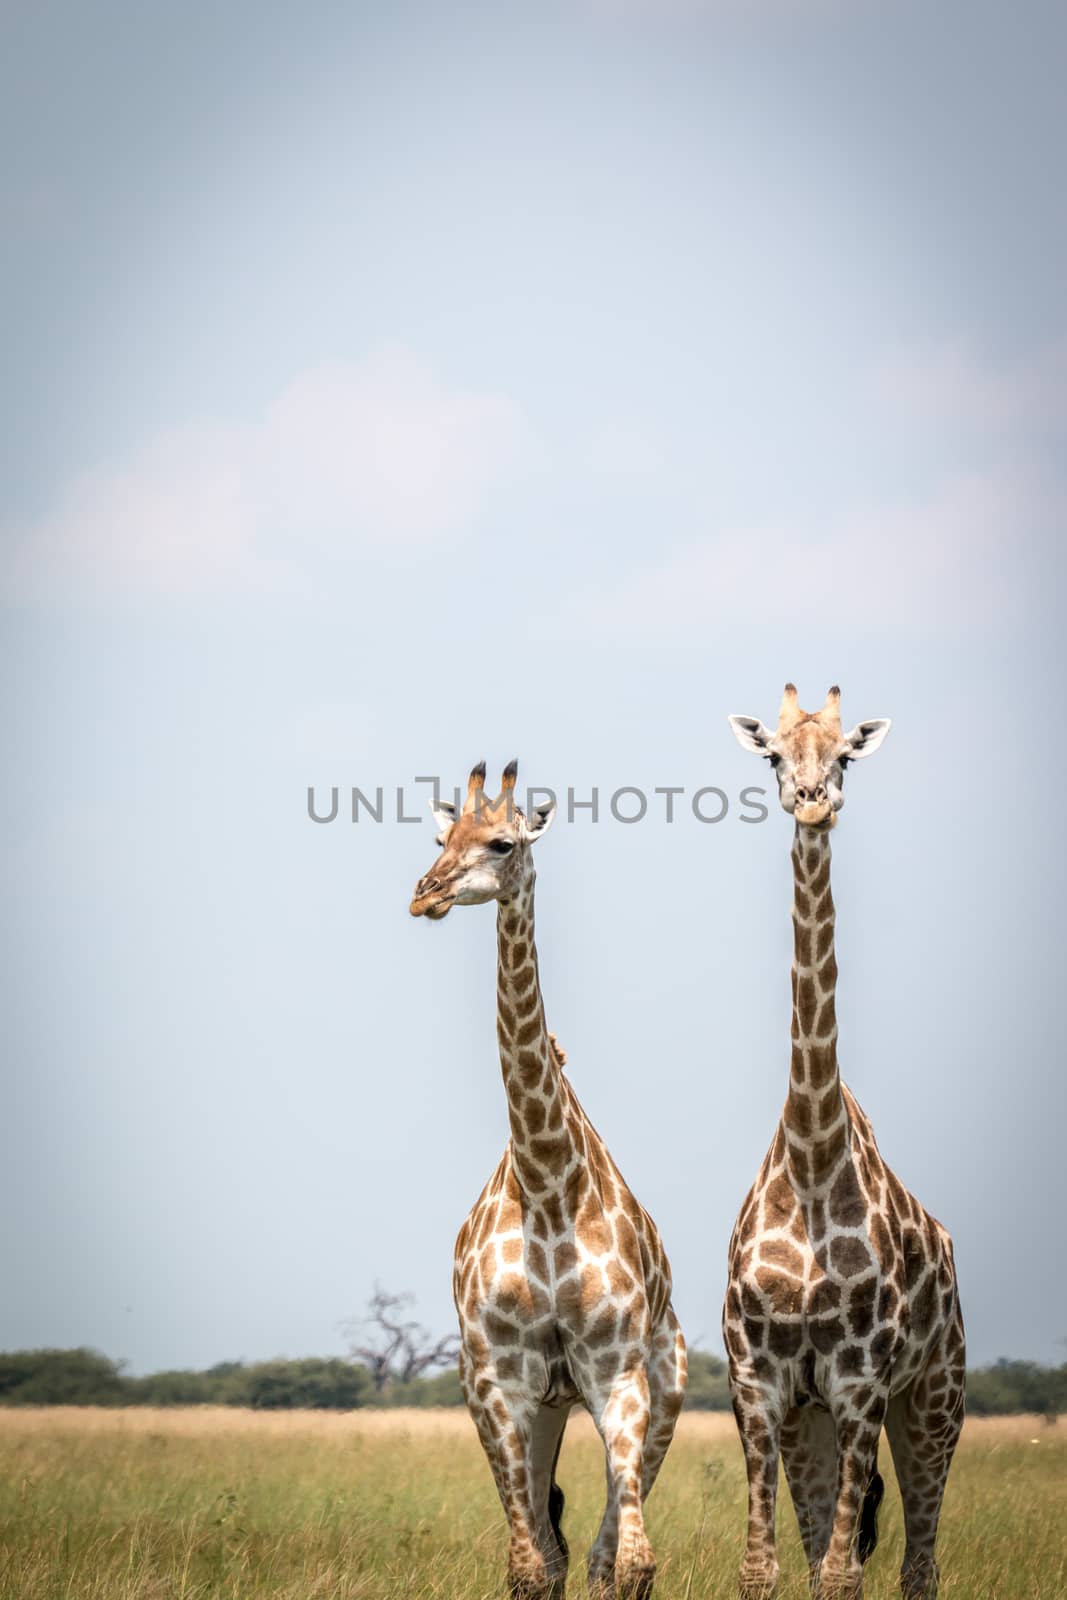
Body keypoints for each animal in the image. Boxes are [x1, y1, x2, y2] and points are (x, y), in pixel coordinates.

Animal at [409, 758, 694, 1600]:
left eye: (501, 843)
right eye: (440, 840)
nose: (425, 894)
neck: (544, 1184)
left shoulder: (618, 1372)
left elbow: (629, 1563)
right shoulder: (495, 1380)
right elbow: (530, 1566)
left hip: (659, 1385)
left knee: (601, 1553)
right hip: (541, 1407)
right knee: (552, 1548)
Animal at [726, 688, 966, 1600]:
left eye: (845, 758)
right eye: (771, 755)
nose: (811, 803)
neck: (810, 1158)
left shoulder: (863, 1381)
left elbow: (839, 1577)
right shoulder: (760, 1384)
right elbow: (764, 1571)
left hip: (934, 1397)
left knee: (918, 1565)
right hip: (814, 1422)